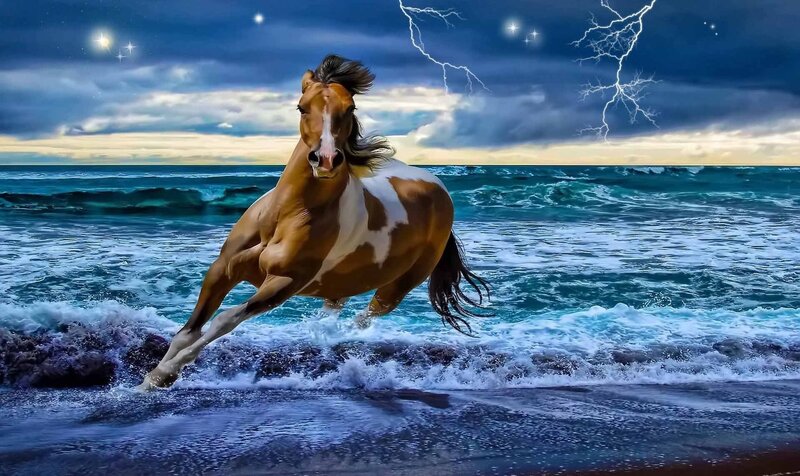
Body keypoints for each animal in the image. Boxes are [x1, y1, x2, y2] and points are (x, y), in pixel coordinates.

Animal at [140, 54, 490, 390]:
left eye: (350, 108)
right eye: (302, 106)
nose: (326, 159)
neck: (284, 216)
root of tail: (439, 189)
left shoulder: (283, 283)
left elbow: (224, 320)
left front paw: (163, 375)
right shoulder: (222, 269)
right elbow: (188, 331)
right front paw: (148, 380)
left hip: (397, 286)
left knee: (364, 318)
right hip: (343, 282)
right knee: (336, 307)